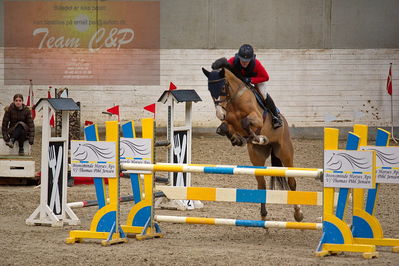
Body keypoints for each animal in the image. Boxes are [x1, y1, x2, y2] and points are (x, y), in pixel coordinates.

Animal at [202, 67, 304, 222]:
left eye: (222, 88)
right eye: (209, 89)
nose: (219, 114)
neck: (234, 100)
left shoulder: (256, 119)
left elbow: (246, 123)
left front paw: (258, 137)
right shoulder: (228, 122)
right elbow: (223, 128)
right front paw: (237, 140)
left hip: (285, 152)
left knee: (292, 181)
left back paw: (298, 214)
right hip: (257, 157)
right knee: (261, 185)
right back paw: (263, 215)